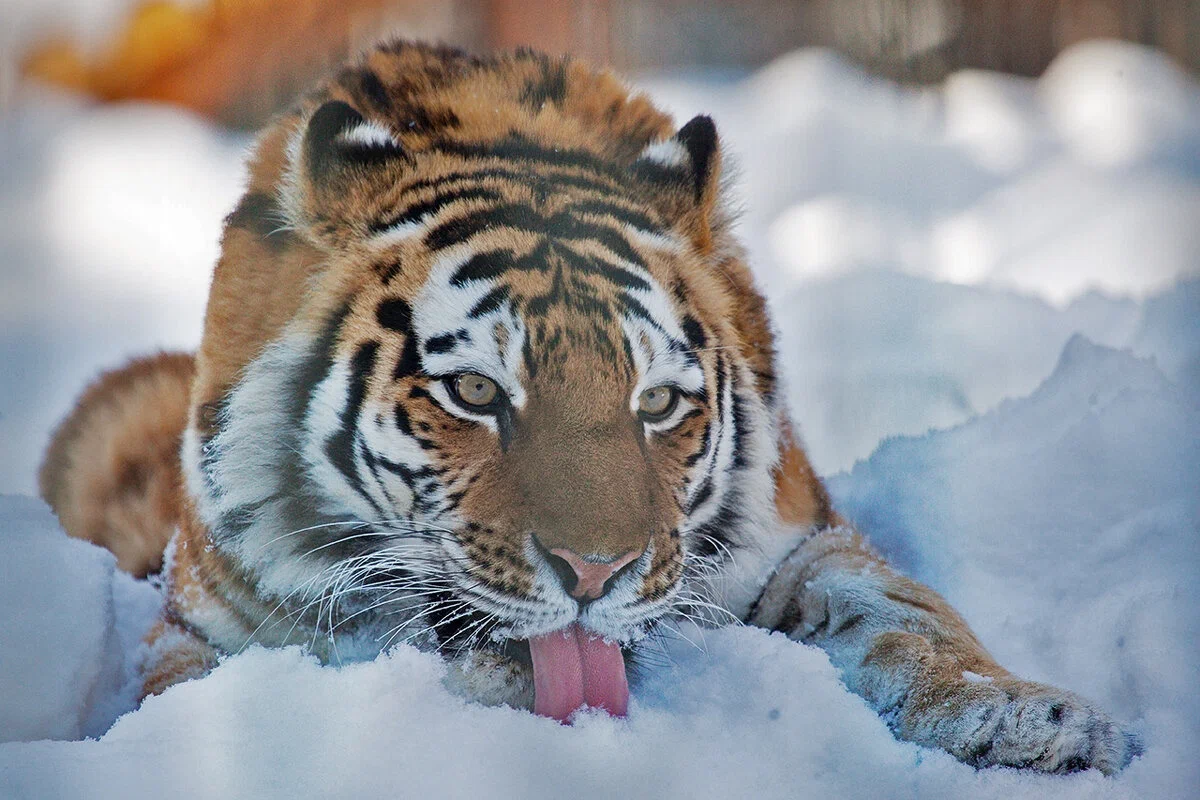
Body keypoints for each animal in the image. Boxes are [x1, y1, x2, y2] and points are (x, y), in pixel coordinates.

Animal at [42, 40, 1137, 772]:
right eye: (475, 391)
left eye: (657, 402)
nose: (596, 573)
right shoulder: (204, 634)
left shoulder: (800, 540)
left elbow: (913, 619)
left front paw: (1035, 721)